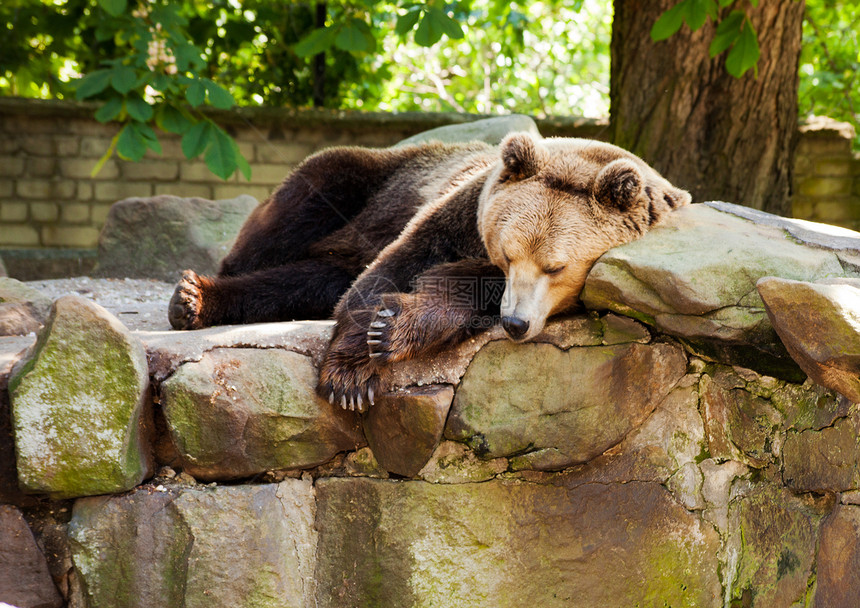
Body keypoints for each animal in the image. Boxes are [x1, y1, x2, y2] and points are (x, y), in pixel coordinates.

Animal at [170, 132, 692, 408]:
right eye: (508, 254)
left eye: (556, 266)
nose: (515, 323)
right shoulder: (457, 210)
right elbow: (397, 264)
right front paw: (350, 374)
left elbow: (454, 286)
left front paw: (393, 326)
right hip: (371, 181)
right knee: (297, 208)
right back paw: (195, 297)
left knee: (310, 279)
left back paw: (197, 300)